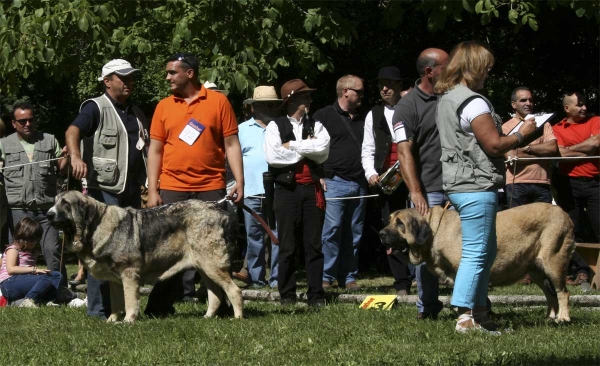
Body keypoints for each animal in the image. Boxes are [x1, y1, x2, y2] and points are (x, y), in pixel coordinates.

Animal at [380, 203, 576, 324]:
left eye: (400, 223)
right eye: (389, 220)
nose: (380, 234)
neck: (435, 231)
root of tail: (565, 214)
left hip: (553, 263)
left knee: (563, 293)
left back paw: (563, 318)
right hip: (537, 271)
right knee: (551, 295)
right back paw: (550, 317)